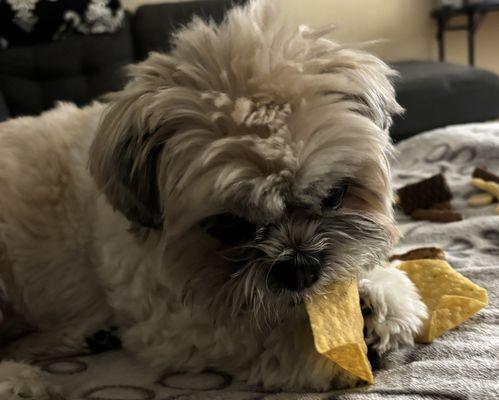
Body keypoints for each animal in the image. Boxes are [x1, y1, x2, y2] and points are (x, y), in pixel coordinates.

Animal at [0, 0, 428, 396]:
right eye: (227, 226)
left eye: (336, 194)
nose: (300, 264)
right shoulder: (169, 318)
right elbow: (247, 330)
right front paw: (321, 350)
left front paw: (380, 295)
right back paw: (20, 380)